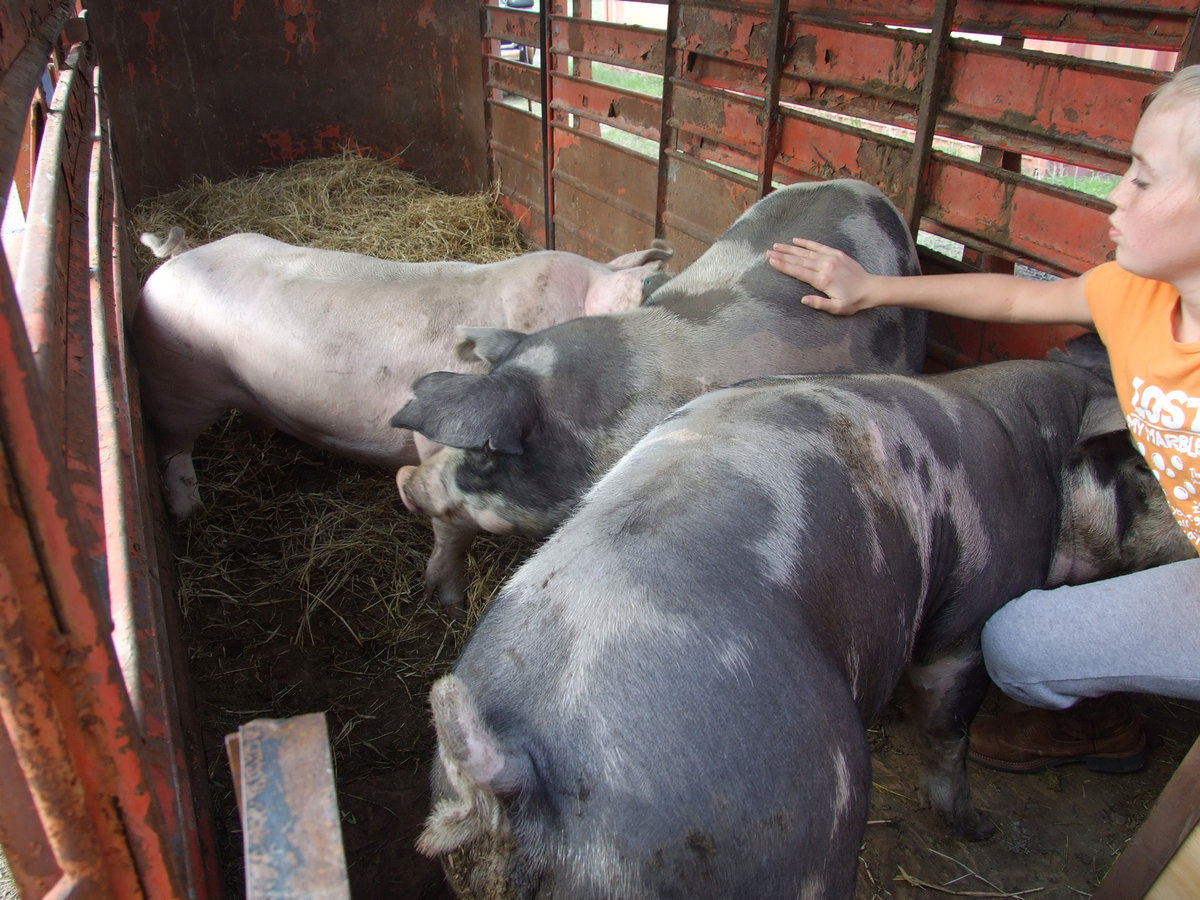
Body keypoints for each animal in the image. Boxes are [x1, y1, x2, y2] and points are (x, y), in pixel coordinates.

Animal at [412, 340, 1190, 900]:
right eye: (1149, 472)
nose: (1191, 537)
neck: (1040, 456)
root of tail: (509, 774)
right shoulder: (973, 615)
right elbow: (949, 730)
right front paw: (982, 829)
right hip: (795, 831)